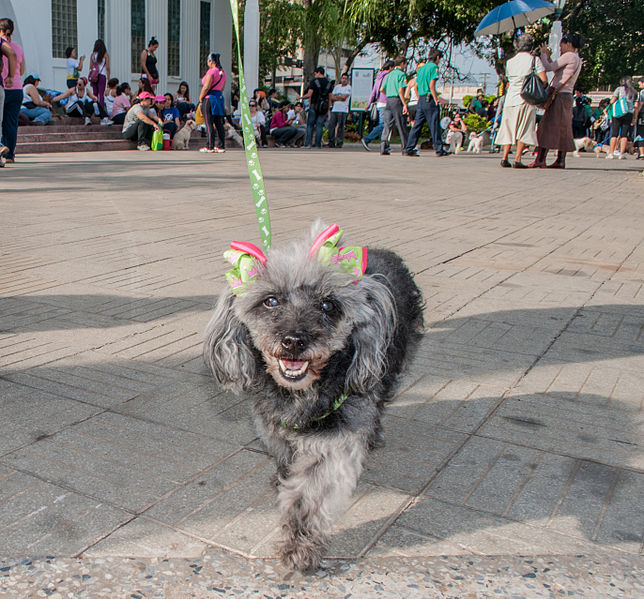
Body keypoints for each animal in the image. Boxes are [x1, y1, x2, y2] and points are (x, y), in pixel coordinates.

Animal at [203, 224, 422, 572]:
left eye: (328, 305)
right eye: (270, 300)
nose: (294, 341)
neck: (300, 395)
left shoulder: (333, 441)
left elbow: (309, 496)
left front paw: (299, 545)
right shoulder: (271, 425)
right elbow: (285, 456)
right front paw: (284, 475)